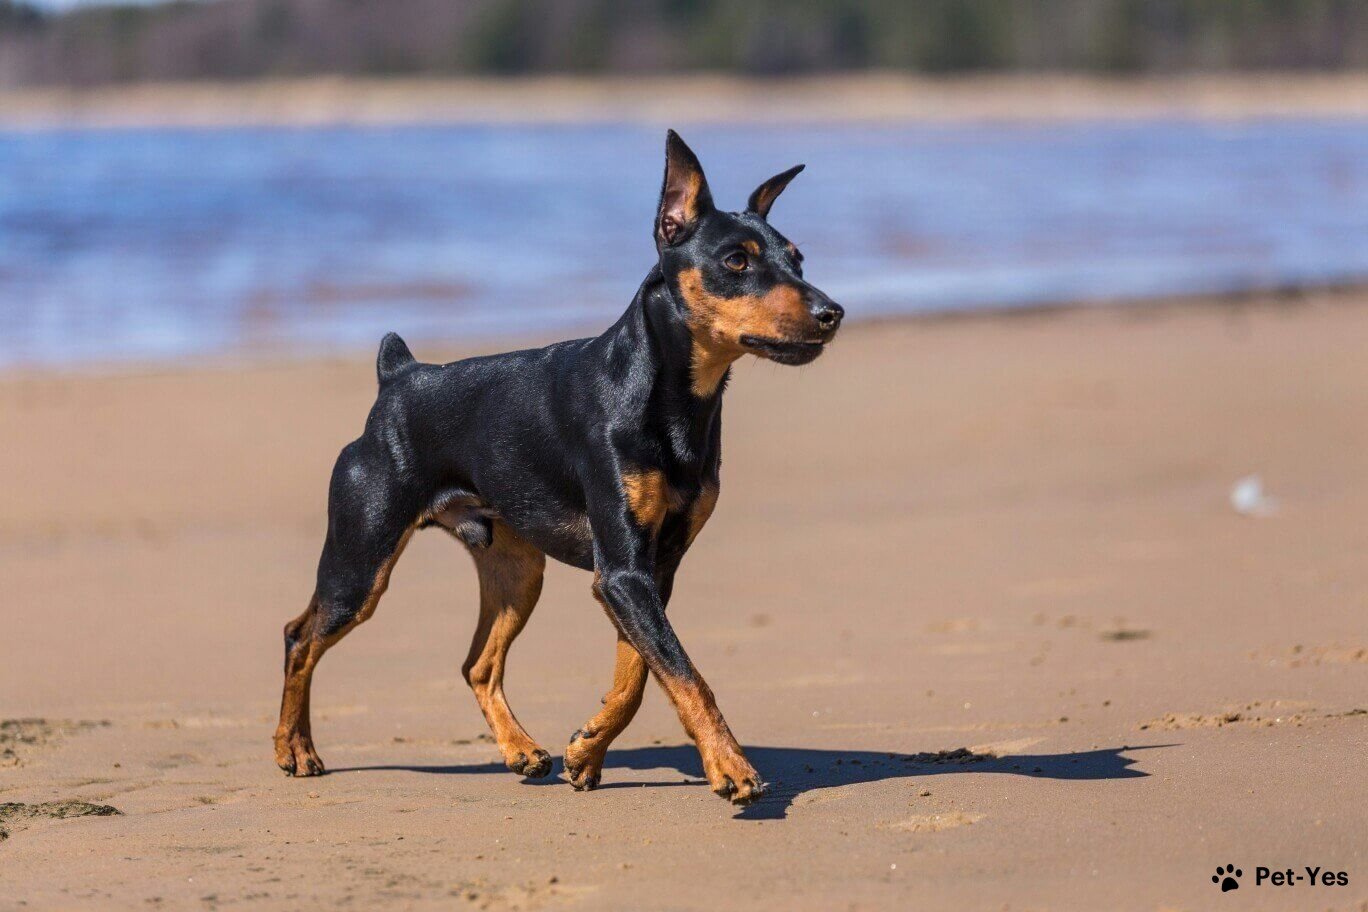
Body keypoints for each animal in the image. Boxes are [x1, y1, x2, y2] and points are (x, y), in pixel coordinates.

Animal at [276, 129, 842, 803]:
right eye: (736, 262)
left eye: (798, 259)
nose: (833, 312)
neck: (674, 399)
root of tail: (398, 376)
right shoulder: (623, 573)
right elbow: (683, 673)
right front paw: (730, 766)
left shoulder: (649, 570)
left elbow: (640, 675)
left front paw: (588, 750)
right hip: (361, 564)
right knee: (301, 636)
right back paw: (294, 750)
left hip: (518, 571)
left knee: (477, 664)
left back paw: (520, 750)